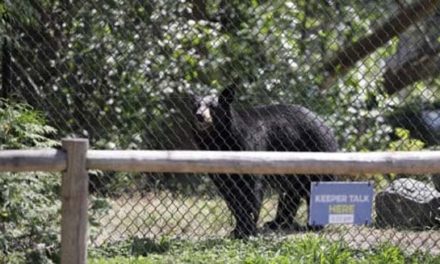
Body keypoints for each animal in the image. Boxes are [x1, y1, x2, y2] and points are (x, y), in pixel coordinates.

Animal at [191, 82, 338, 237]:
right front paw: (237, 229)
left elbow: (251, 189)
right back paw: (277, 223)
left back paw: (312, 225)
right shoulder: (216, 165)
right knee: (291, 192)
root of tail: (328, 128)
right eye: (197, 105)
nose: (199, 116)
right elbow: (230, 194)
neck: (218, 140)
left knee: (313, 189)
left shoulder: (249, 145)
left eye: (212, 106)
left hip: (317, 153)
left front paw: (246, 229)